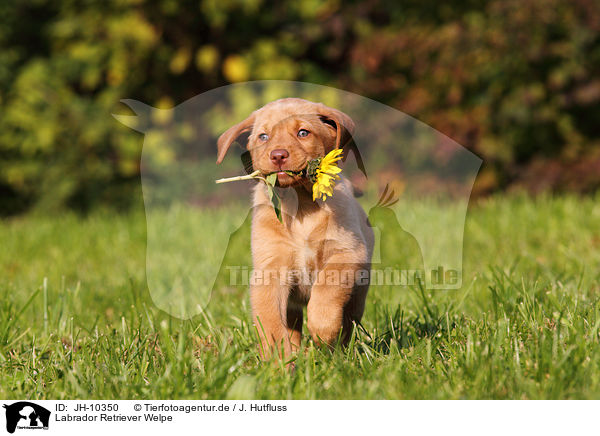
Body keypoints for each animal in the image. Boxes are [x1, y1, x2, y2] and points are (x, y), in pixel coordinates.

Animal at [218, 99, 372, 362]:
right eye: (263, 136)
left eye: (303, 133)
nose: (278, 155)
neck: (301, 207)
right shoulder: (269, 270)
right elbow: (269, 321)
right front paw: (278, 360)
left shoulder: (347, 252)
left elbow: (327, 288)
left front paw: (323, 330)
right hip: (292, 306)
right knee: (293, 326)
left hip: (358, 294)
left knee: (348, 323)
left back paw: (338, 353)